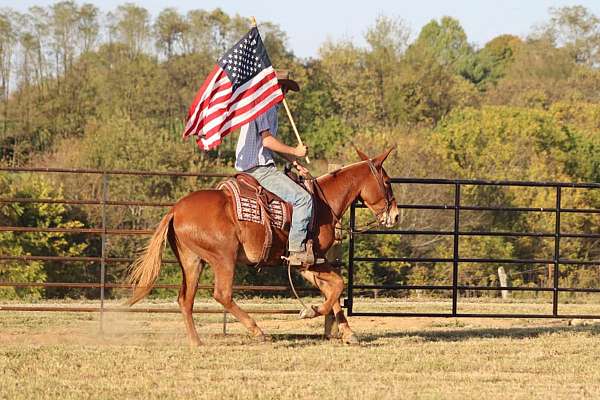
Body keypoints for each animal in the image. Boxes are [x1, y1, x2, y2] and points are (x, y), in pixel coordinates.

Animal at [126, 147, 398, 344]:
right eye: (386, 181)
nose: (395, 215)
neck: (323, 203)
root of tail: (175, 210)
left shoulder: (305, 263)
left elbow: (333, 290)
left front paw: (347, 332)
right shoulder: (311, 261)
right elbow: (338, 286)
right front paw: (310, 311)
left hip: (193, 261)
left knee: (186, 299)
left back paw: (196, 342)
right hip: (223, 258)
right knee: (222, 294)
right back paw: (258, 331)